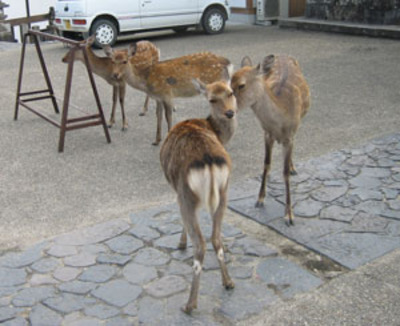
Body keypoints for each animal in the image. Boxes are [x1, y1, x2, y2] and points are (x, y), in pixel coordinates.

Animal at [104, 42, 233, 145]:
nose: (115, 75)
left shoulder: (167, 94)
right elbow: (159, 115)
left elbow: (168, 116)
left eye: (125, 61)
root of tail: (228, 63)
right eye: (112, 61)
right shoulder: (158, 98)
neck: (146, 80)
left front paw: (168, 139)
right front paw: (156, 140)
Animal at [160, 73, 238, 314]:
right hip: (224, 192)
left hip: (186, 194)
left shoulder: (176, 190)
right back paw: (228, 282)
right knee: (216, 238)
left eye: (231, 92)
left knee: (201, 244)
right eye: (212, 99)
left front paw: (180, 243)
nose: (230, 112)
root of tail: (208, 160)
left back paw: (190, 304)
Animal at [230, 54, 310, 227]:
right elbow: (266, 164)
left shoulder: (289, 136)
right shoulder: (267, 134)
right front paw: (259, 199)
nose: (229, 111)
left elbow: (284, 172)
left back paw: (293, 167)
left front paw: (289, 216)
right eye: (229, 83)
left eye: (241, 85)